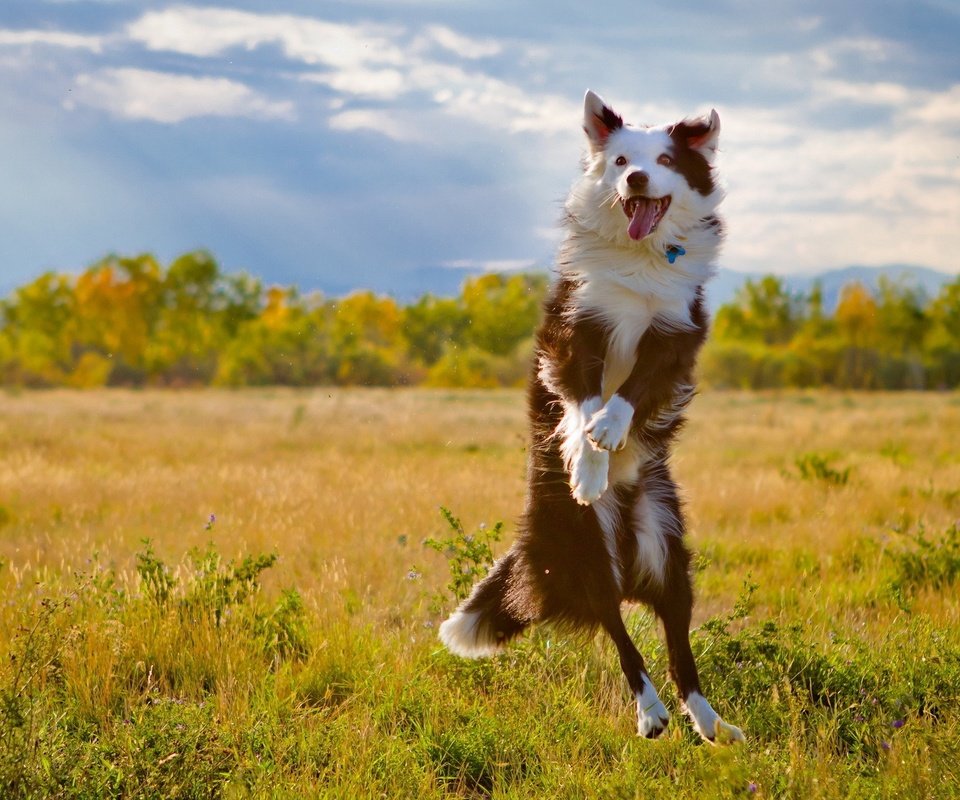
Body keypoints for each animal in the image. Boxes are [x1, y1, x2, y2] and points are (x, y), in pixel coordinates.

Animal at [438, 90, 748, 748]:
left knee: (677, 643)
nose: (636, 178)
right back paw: (650, 713)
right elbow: (581, 402)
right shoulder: (574, 329)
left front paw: (611, 431)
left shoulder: (673, 334)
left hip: (667, 546)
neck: (640, 258)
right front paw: (587, 462)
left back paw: (709, 722)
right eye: (622, 159)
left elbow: (630, 391)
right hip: (585, 546)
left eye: (664, 160)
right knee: (618, 628)